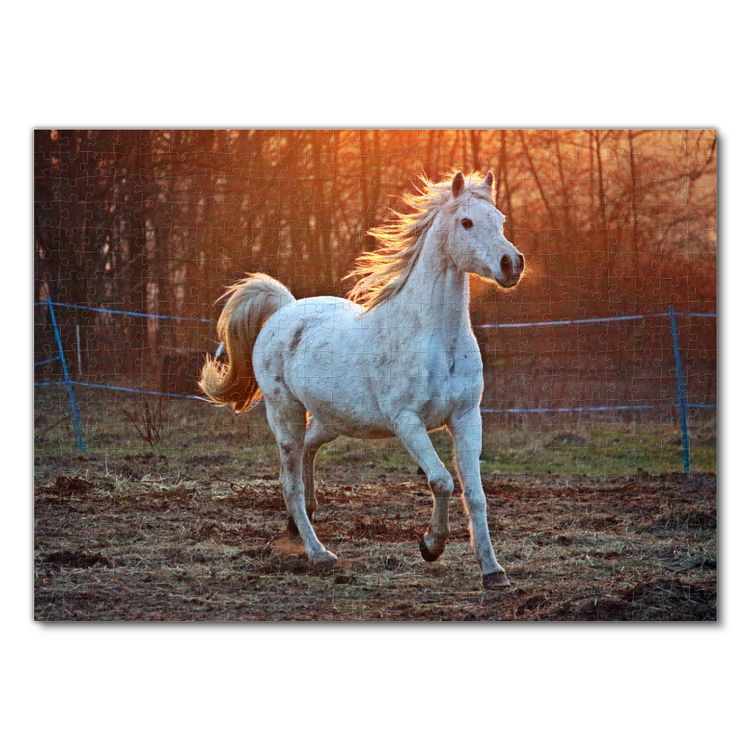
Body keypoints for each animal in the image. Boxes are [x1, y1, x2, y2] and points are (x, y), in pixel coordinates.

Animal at [200, 171, 525, 588]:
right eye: (466, 222)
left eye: (499, 219)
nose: (511, 264)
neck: (435, 339)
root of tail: (285, 310)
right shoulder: (407, 422)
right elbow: (441, 481)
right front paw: (430, 546)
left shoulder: (467, 417)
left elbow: (476, 493)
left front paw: (493, 571)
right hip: (285, 413)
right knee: (290, 481)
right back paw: (319, 553)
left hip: (332, 419)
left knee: (308, 451)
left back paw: (299, 524)